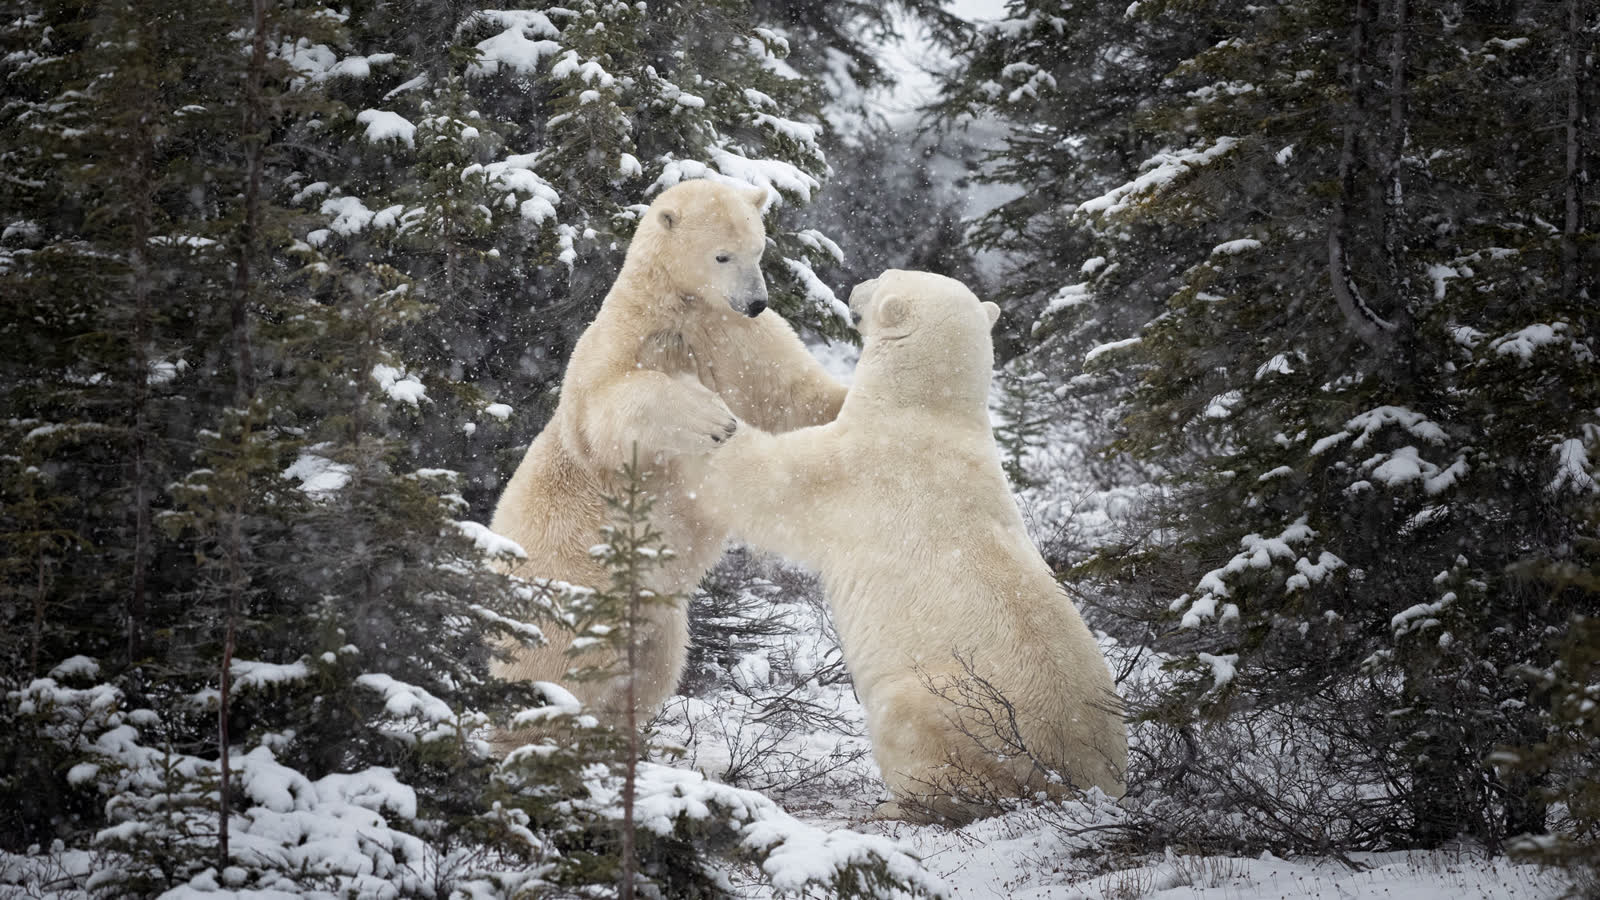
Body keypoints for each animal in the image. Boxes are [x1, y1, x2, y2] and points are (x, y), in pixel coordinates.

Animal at [488, 179, 848, 750]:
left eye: (759, 248)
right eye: (722, 255)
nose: (756, 301)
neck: (686, 306)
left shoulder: (740, 340)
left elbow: (794, 397)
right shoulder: (629, 343)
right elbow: (610, 408)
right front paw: (711, 418)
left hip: (654, 613)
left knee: (653, 669)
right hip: (569, 595)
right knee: (551, 676)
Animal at [685, 269, 1128, 822]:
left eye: (883, 278)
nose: (853, 286)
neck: (925, 413)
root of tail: (1086, 782)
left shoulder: (857, 470)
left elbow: (769, 482)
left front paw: (697, 415)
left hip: (955, 711)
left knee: (917, 732)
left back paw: (897, 805)